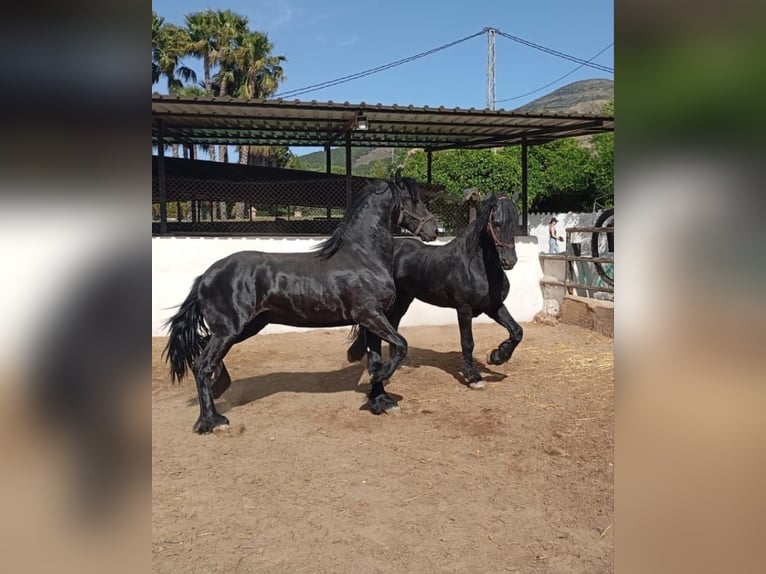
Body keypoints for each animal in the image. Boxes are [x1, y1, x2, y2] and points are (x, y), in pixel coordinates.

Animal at [163, 176, 440, 433]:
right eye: (413, 200)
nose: (433, 230)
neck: (362, 257)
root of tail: (205, 276)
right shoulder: (370, 316)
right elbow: (401, 345)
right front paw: (379, 382)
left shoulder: (372, 321)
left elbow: (375, 360)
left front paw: (381, 401)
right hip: (229, 331)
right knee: (201, 365)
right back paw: (212, 421)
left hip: (245, 327)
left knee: (202, 349)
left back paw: (221, 386)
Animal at [346, 191, 524, 389]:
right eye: (496, 222)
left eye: (515, 223)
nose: (509, 261)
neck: (477, 266)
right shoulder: (464, 309)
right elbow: (467, 342)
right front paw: (473, 376)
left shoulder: (493, 306)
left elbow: (517, 331)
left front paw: (497, 356)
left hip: (403, 300)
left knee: (393, 324)